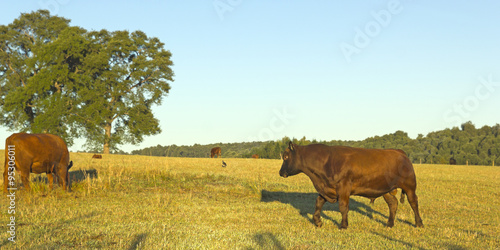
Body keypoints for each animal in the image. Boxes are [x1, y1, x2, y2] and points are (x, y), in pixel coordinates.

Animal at [280, 142, 424, 229]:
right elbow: (318, 203)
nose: (280, 172)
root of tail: (399, 152)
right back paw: (389, 223)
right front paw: (318, 221)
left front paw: (343, 225)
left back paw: (419, 223)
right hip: (386, 190)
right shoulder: (327, 188)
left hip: (410, 186)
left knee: (414, 203)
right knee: (393, 203)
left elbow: (343, 207)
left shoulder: (344, 187)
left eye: (286, 157)